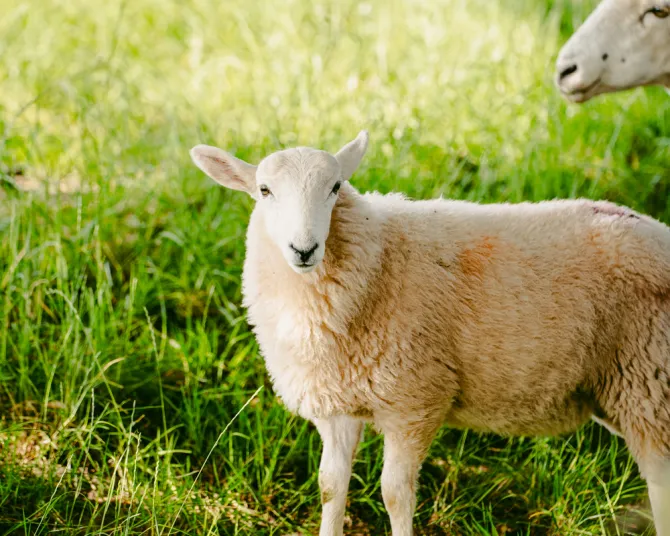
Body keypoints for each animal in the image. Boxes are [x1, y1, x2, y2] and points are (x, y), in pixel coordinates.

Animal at [189, 131, 670, 536]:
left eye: (335, 187)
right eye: (264, 191)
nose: (303, 249)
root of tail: (658, 230)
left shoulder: (414, 400)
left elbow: (395, 495)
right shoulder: (337, 404)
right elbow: (330, 486)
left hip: (650, 383)